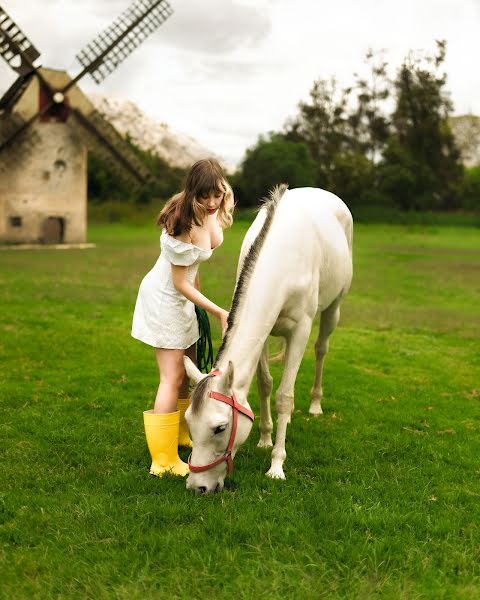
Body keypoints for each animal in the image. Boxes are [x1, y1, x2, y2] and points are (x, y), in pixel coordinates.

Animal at [184, 186, 352, 492]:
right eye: (189, 421)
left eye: (220, 428)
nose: (196, 486)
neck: (282, 261)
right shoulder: (262, 330)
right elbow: (264, 384)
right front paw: (264, 438)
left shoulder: (300, 331)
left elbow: (284, 396)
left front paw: (276, 465)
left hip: (334, 307)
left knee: (321, 349)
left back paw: (315, 404)